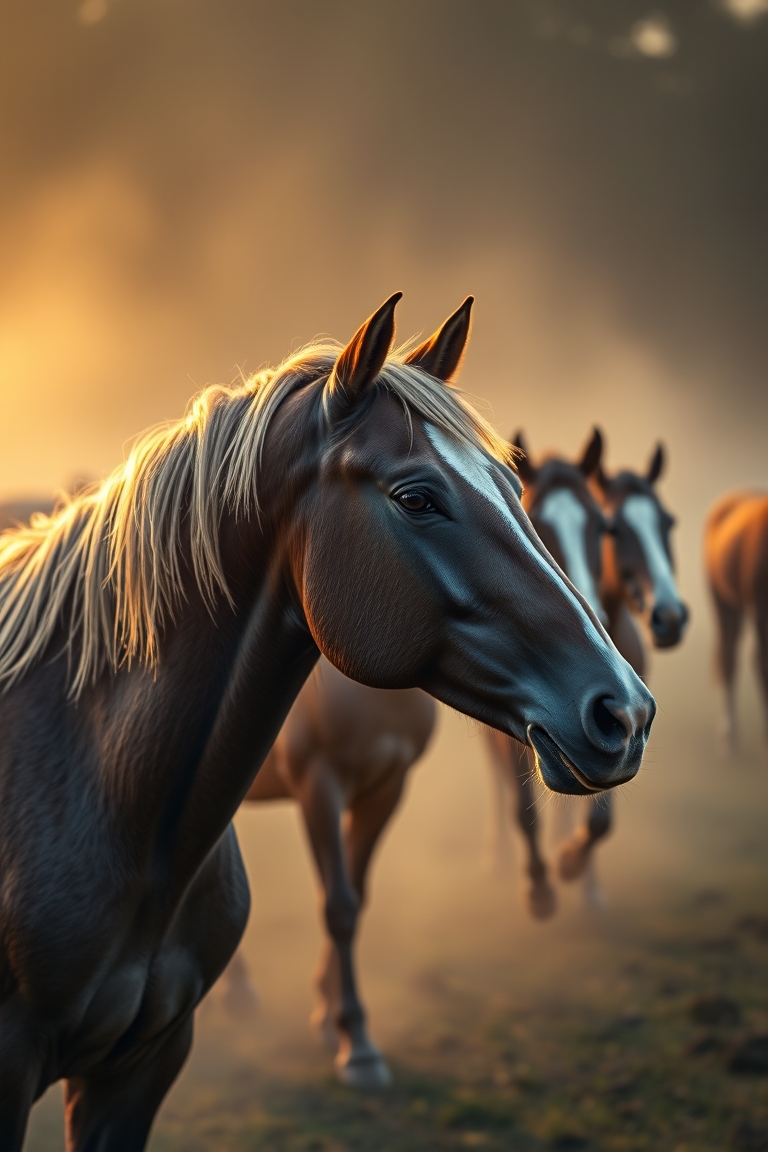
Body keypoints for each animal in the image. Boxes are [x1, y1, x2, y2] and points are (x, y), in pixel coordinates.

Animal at [0, 292, 654, 1151]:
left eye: (512, 493)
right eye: (417, 497)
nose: (625, 711)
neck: (95, 788)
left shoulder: (137, 1070)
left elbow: (356, 897)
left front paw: (336, 1020)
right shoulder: (319, 783)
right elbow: (340, 903)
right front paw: (355, 1044)